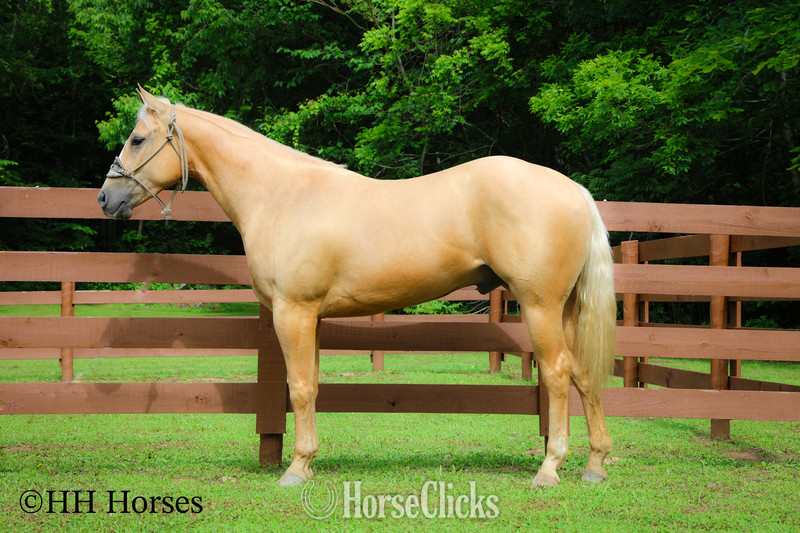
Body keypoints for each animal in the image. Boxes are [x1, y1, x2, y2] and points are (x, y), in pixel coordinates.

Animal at [98, 86, 617, 487]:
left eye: (137, 138)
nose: (105, 197)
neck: (281, 195)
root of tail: (574, 190)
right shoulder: (311, 318)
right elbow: (312, 387)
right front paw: (307, 463)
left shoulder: (293, 312)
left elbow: (299, 389)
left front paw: (294, 471)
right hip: (565, 309)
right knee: (583, 375)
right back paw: (594, 466)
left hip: (539, 306)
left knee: (557, 372)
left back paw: (550, 469)